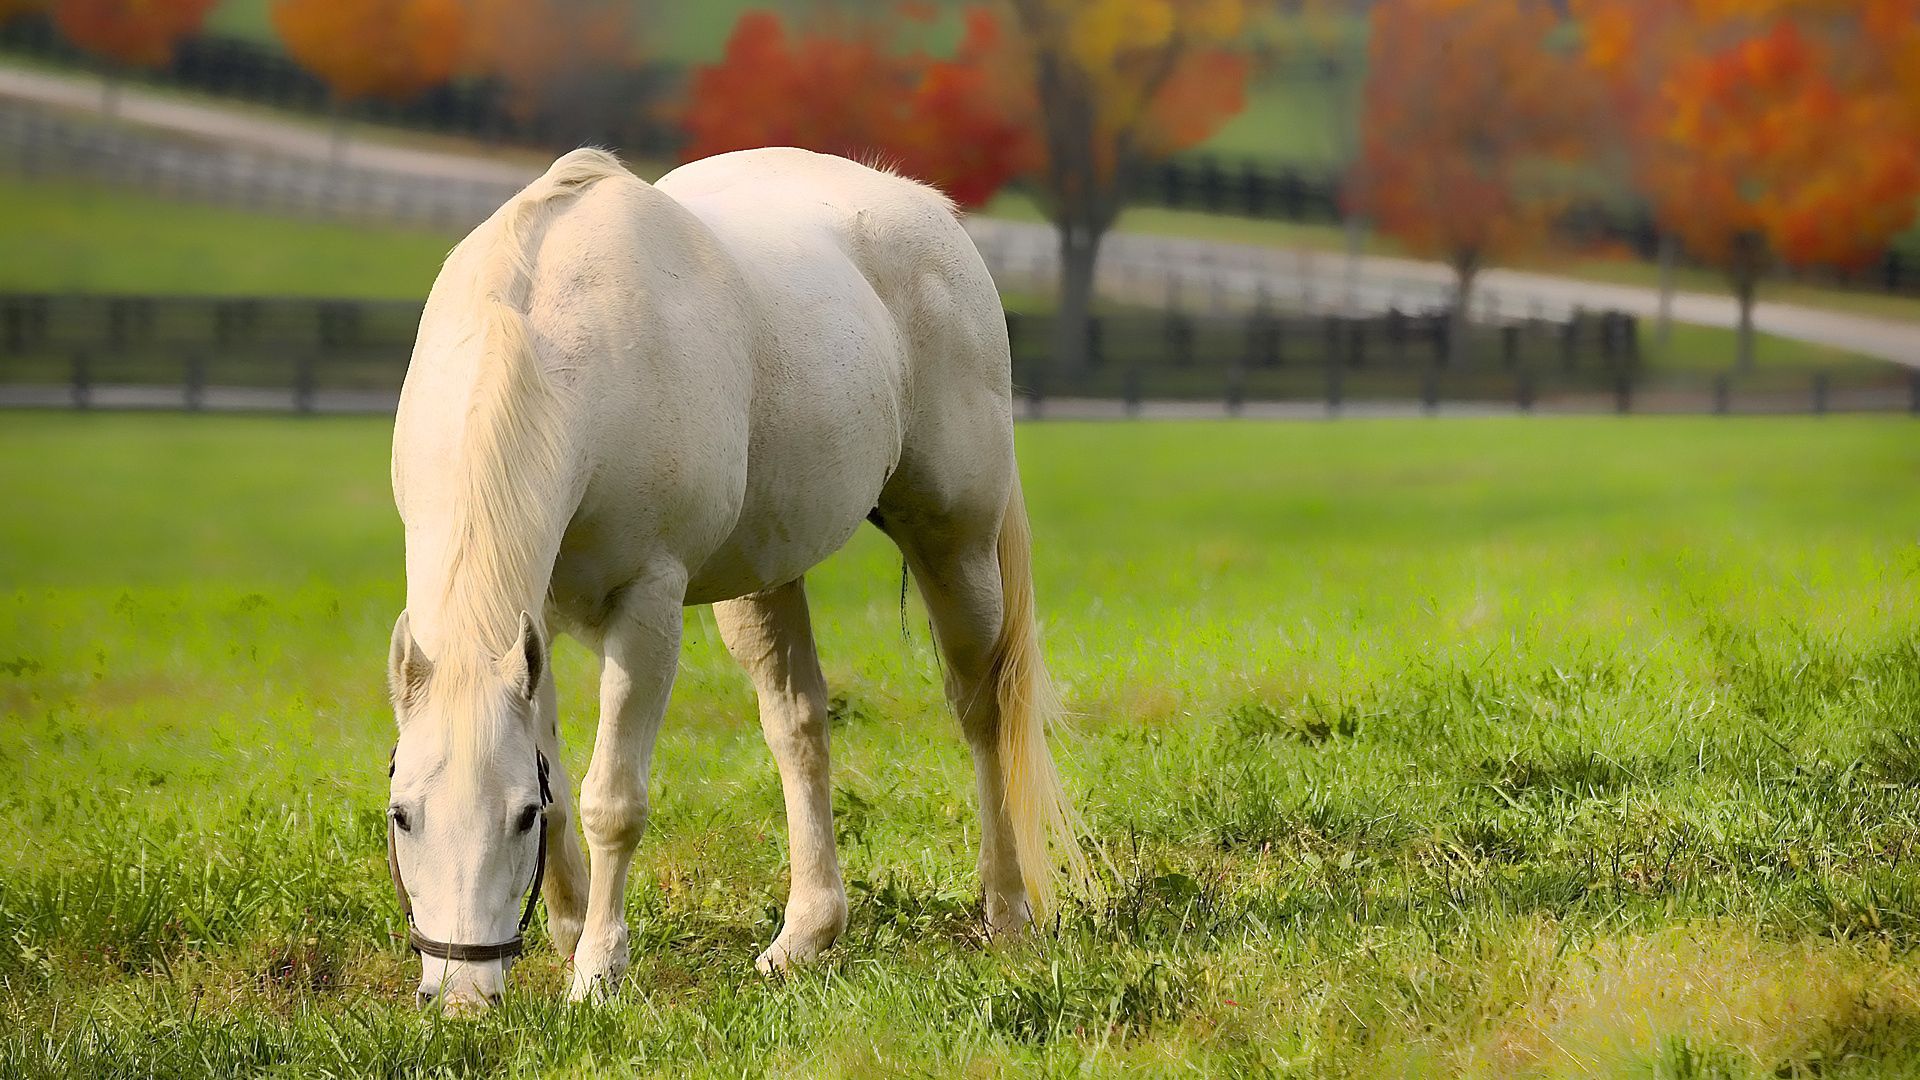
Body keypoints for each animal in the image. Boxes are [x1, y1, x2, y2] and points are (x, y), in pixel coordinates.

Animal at [385, 143, 1082, 999]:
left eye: (515, 817)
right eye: (402, 814)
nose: (461, 997)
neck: (551, 346)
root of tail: (929, 210)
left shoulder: (647, 605)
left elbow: (611, 798)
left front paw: (597, 972)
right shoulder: (532, 620)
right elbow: (564, 780)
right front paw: (571, 931)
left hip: (957, 545)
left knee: (984, 711)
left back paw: (1007, 911)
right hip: (765, 580)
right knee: (799, 726)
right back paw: (806, 934)